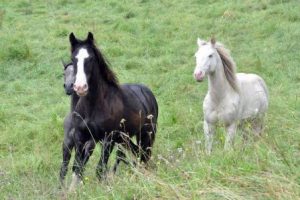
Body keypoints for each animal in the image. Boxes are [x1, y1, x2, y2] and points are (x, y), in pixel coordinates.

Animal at [67, 32, 158, 190]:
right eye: (73, 59)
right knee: (137, 154)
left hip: (146, 134)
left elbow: (100, 170)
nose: (80, 88)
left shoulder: (108, 139)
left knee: (144, 157)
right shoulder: (81, 137)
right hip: (124, 139)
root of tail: (148, 93)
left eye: (90, 58)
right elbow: (77, 169)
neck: (93, 106)